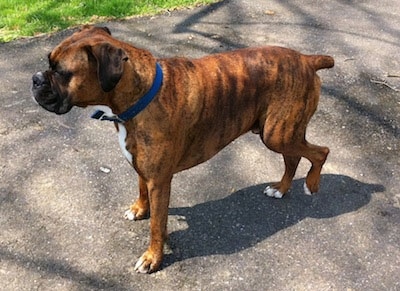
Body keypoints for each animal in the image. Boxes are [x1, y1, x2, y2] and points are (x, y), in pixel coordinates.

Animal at [32, 26, 334, 274]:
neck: (137, 97)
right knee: (293, 158)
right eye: (48, 63)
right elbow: (141, 191)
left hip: (278, 134)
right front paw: (139, 209)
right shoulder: (143, 169)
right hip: (280, 133)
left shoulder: (159, 181)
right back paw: (281, 188)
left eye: (60, 72)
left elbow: (157, 225)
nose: (35, 79)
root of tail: (306, 60)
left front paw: (153, 258)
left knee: (321, 152)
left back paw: (311, 185)